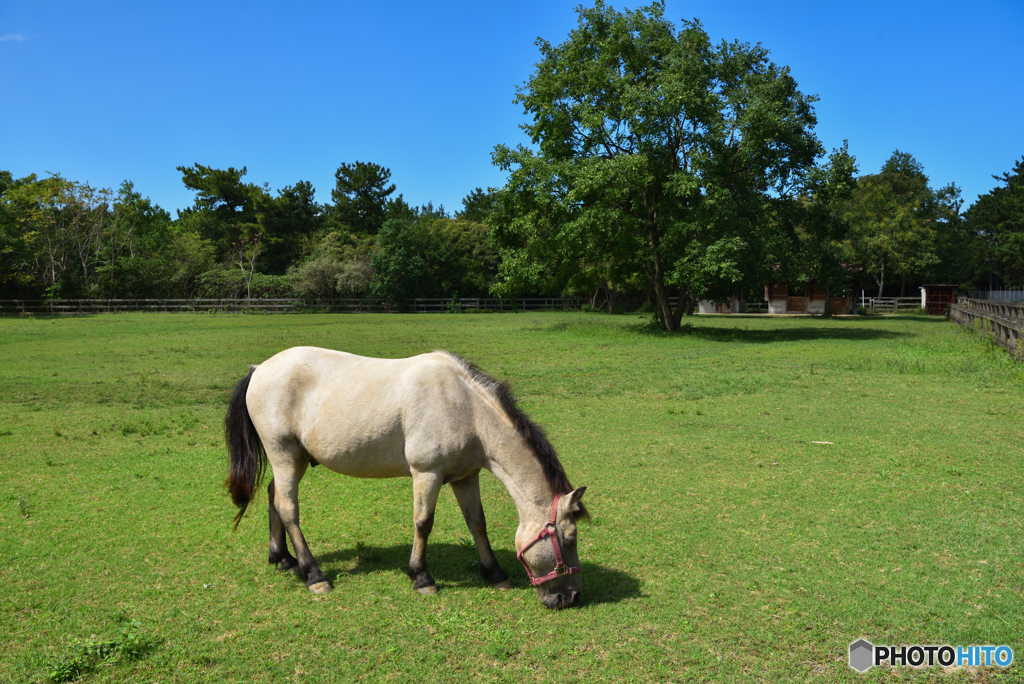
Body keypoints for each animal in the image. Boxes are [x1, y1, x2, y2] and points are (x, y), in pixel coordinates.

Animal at [224, 348, 593, 610]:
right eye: (570, 539)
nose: (571, 598)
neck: (464, 407)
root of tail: (259, 369)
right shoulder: (427, 473)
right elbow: (423, 523)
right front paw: (421, 577)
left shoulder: (465, 476)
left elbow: (477, 522)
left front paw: (495, 573)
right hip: (284, 455)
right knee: (289, 509)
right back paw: (313, 574)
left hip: (293, 460)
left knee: (274, 497)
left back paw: (283, 559)